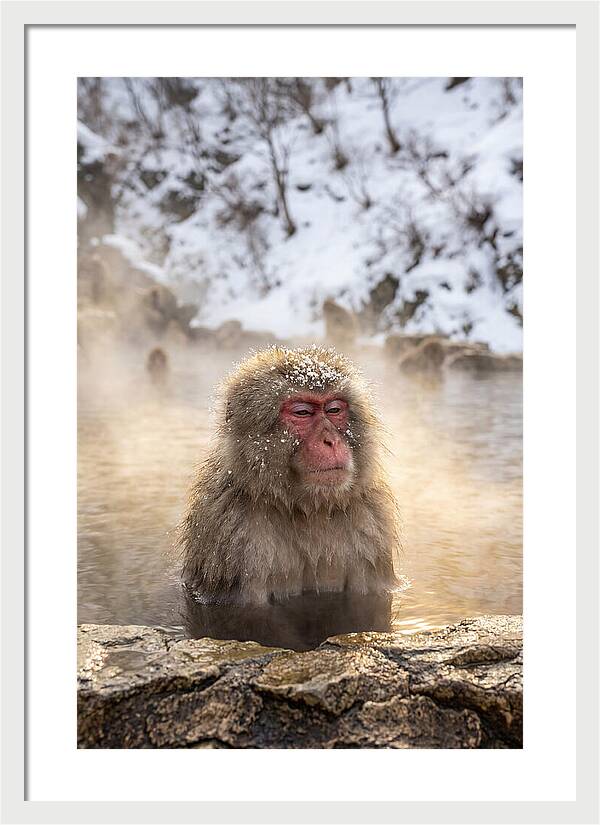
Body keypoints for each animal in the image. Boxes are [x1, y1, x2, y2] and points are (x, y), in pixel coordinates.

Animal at [180, 345, 400, 605]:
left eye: (334, 409)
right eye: (302, 412)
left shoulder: (371, 525)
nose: (331, 441)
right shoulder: (232, 534)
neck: (308, 509)